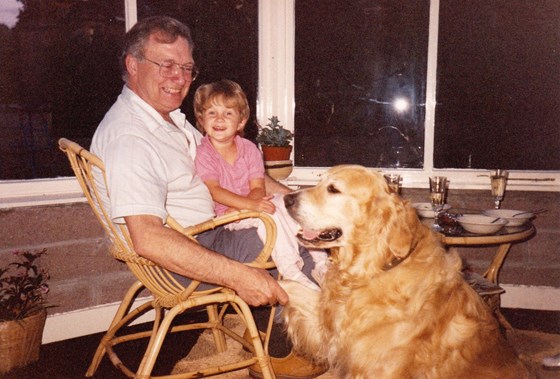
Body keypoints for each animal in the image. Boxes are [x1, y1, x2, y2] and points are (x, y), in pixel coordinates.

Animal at [282, 166, 532, 379]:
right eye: (319, 181)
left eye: (333, 189)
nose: (286, 199)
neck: (373, 270)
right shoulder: (332, 333)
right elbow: (291, 287)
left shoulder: (378, 368)